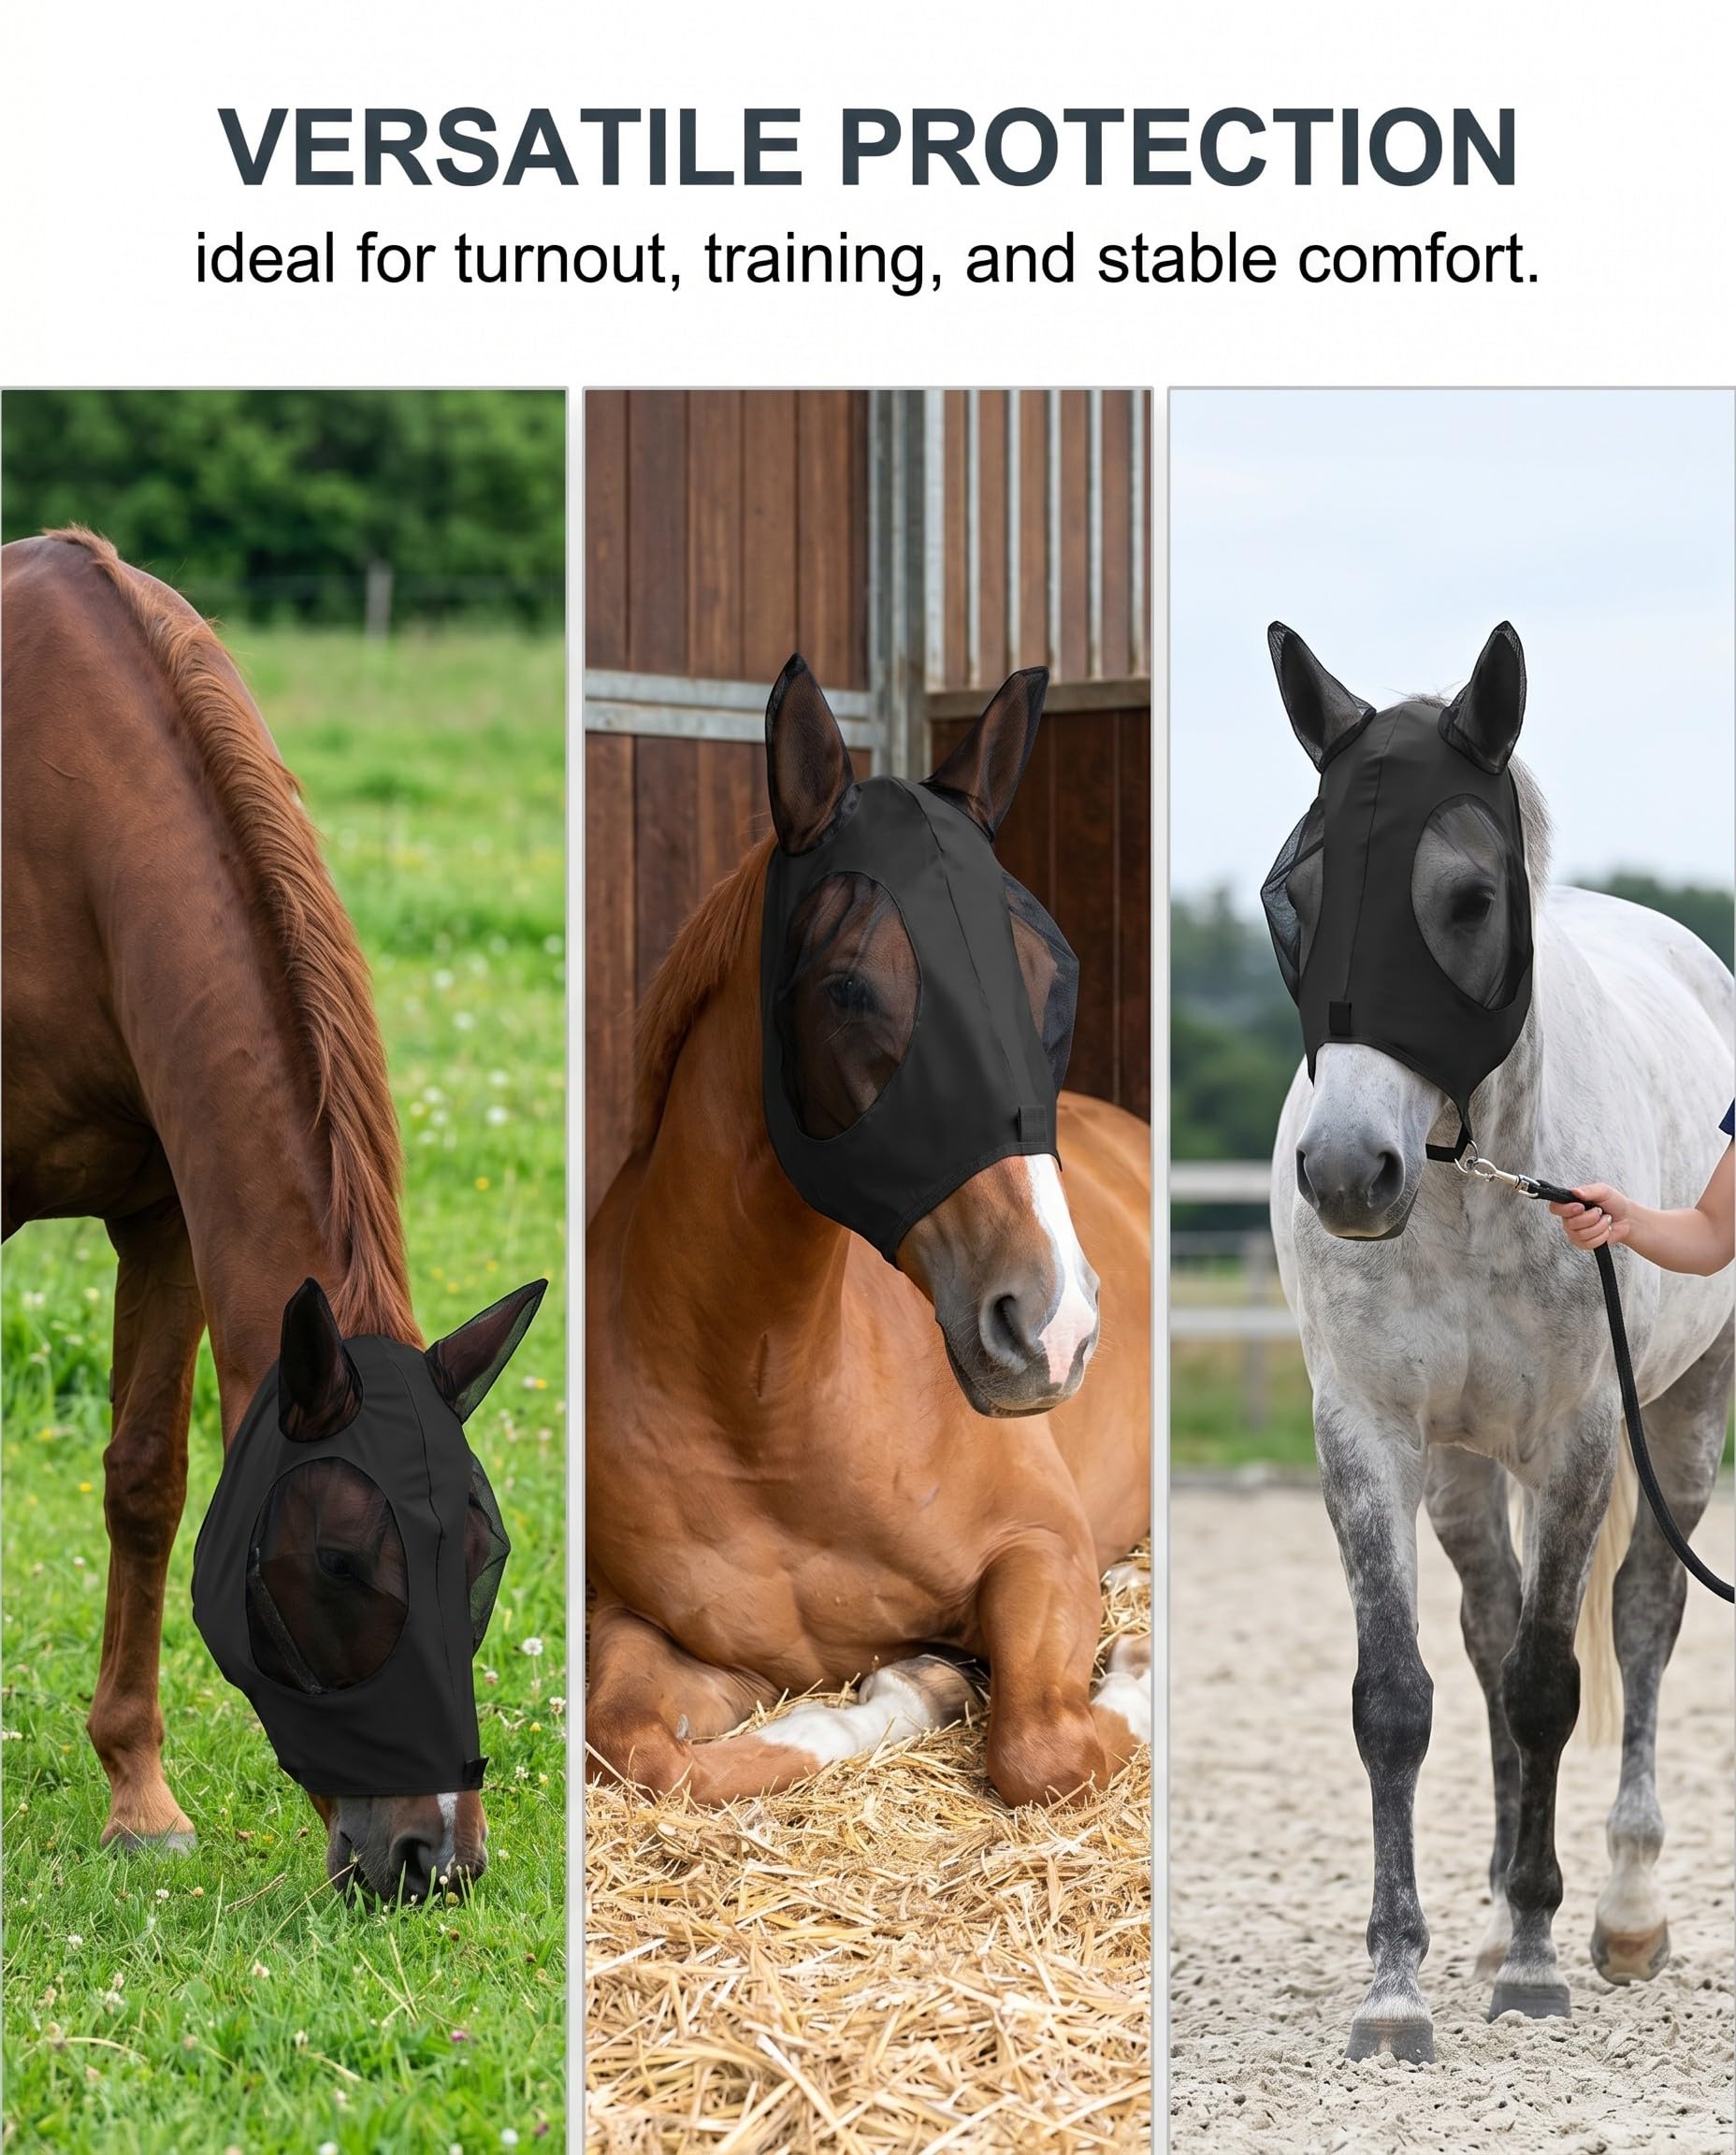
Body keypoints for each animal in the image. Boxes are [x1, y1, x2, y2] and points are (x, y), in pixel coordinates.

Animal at [1, 527, 527, 1902]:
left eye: (486, 1553)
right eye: (340, 1563)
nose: (431, 1857)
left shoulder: (165, 1216)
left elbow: (146, 1481)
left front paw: (138, 1796)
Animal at [585, 659, 1152, 1806]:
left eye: (1056, 975)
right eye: (846, 988)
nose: (1054, 1327)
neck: (771, 1411)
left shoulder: (1041, 1549)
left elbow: (1045, 1746)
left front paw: (1137, 1667)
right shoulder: (647, 1630)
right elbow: (640, 1748)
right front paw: (918, 1688)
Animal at [1266, 623, 1733, 2062]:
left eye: (1466, 900)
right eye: (1292, 896)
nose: (1347, 1172)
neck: (1471, 1184)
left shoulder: (1580, 1440)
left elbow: (1548, 1685)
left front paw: (1537, 1960)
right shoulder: (1366, 1438)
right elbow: (1397, 1697)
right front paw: (1396, 1985)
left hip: (1678, 1420)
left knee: (1636, 1621)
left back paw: (1621, 1912)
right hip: (1468, 1470)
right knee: (1482, 1626)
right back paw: (1483, 1914)